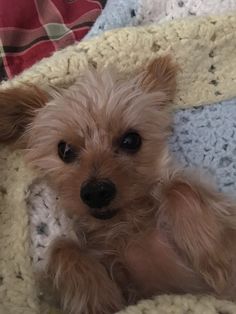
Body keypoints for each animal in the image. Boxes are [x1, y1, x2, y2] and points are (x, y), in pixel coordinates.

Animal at [0, 56, 236, 314]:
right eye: (64, 150)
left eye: (131, 140)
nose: (96, 193)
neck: (126, 227)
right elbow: (63, 247)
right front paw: (98, 300)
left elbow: (178, 189)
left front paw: (218, 260)